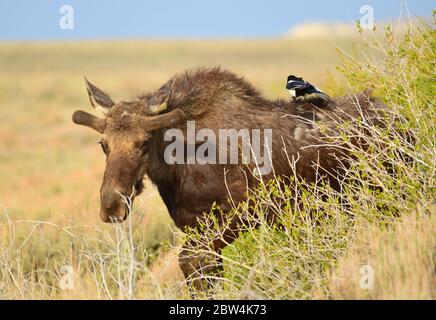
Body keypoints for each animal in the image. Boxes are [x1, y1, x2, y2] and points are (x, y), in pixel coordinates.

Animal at [71, 67, 384, 288]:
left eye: (145, 142)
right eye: (103, 144)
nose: (111, 205)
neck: (176, 169)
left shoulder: (247, 212)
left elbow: (191, 262)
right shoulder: (195, 226)